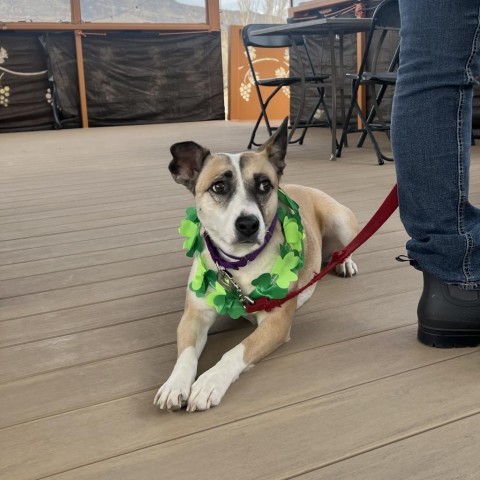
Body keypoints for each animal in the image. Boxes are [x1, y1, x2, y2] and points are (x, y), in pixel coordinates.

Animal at [152, 119, 358, 412]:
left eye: (264, 185)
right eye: (218, 187)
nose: (248, 224)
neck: (238, 263)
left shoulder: (276, 322)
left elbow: (235, 351)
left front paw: (209, 383)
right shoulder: (194, 315)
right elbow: (187, 353)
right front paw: (175, 383)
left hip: (341, 220)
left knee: (349, 246)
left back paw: (345, 262)